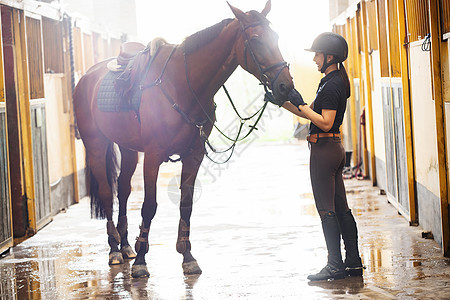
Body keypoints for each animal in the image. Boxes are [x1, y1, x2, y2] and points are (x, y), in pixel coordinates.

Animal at [73, 0, 292, 278]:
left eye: (276, 37)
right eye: (255, 39)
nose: (286, 86)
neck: (183, 85)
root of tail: (87, 77)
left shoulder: (194, 154)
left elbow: (186, 204)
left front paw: (187, 256)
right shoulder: (153, 155)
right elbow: (149, 206)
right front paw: (142, 261)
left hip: (129, 148)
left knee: (123, 190)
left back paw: (125, 246)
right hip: (96, 145)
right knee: (105, 192)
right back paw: (114, 250)